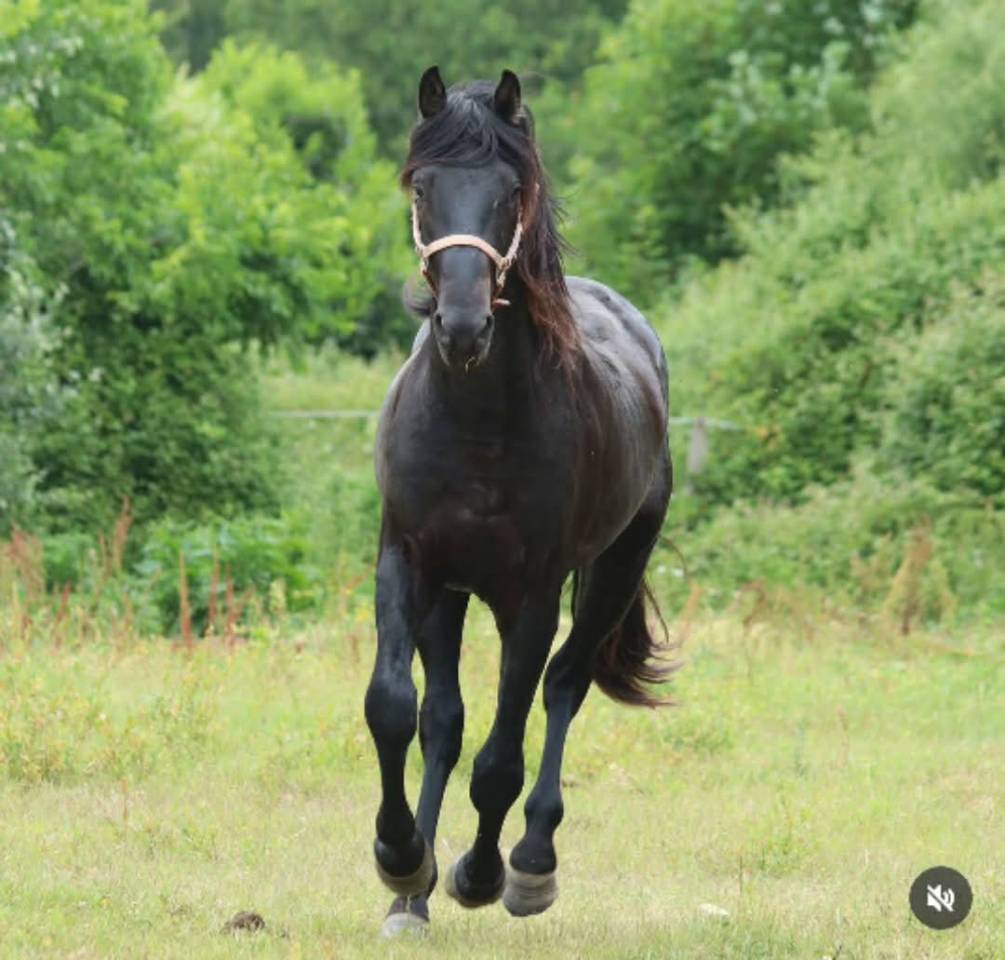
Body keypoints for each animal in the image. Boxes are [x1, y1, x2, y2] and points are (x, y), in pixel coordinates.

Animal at [365, 66, 676, 936]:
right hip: (450, 592)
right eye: (423, 185)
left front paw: (476, 874)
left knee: (564, 686)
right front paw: (400, 859)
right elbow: (396, 708)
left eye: (510, 191)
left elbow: (501, 757)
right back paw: (412, 896)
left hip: (611, 571)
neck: (476, 424)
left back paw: (530, 865)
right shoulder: (408, 562)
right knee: (443, 720)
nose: (463, 327)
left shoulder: (529, 595)